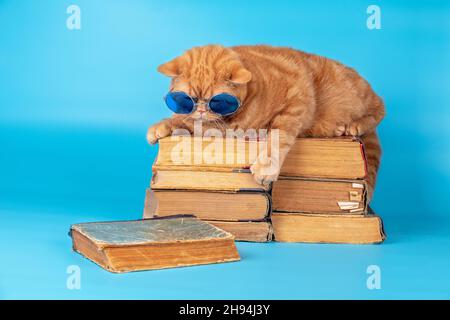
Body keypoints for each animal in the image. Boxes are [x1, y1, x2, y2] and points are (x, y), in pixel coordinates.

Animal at [149, 45, 386, 200]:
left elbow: (279, 137)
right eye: (186, 99)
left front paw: (266, 167)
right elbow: (186, 121)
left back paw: (352, 125)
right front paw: (166, 124)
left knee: (379, 109)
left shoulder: (297, 100)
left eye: (216, 101)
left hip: (357, 94)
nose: (199, 109)